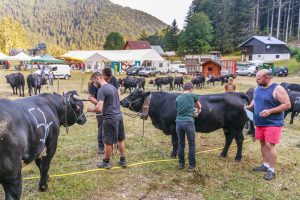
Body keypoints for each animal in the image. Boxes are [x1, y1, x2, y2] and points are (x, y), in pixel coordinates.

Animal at [120, 90, 254, 161]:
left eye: (133, 95)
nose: (121, 101)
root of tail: (236, 94)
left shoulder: (173, 127)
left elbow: (175, 142)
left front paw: (173, 155)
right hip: (227, 127)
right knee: (229, 139)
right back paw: (223, 154)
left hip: (237, 127)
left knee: (239, 139)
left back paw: (238, 157)